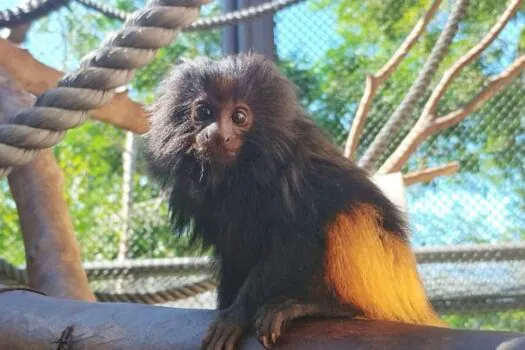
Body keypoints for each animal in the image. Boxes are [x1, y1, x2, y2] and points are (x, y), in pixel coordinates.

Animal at [145, 52, 444, 350]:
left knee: (350, 212)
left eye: (239, 116)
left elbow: (292, 244)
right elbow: (232, 252)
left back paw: (329, 308)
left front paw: (236, 315)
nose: (218, 134)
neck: (241, 173)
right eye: (204, 112)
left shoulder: (294, 173)